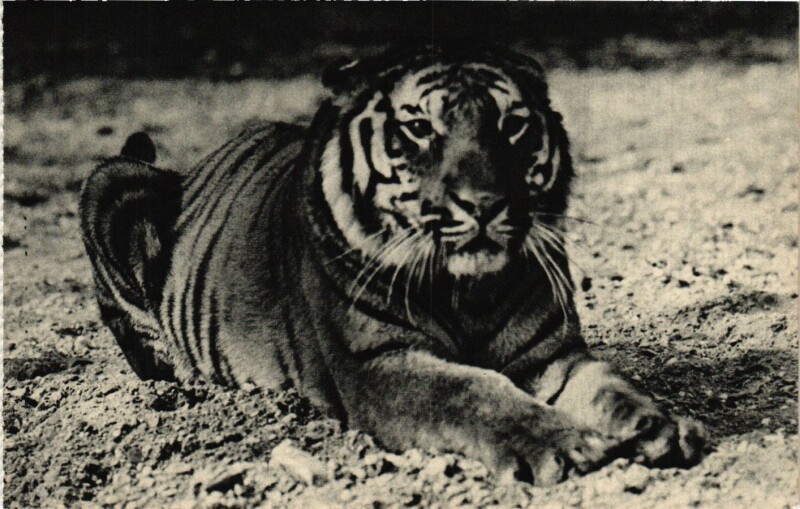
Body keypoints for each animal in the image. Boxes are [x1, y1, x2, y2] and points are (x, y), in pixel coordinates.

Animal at [80, 44, 705, 485]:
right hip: (111, 182)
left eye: (512, 125)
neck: (469, 291)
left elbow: (612, 386)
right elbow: (475, 393)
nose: (484, 204)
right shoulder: (380, 366)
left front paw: (662, 426)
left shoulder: (550, 355)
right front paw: (563, 446)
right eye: (421, 128)